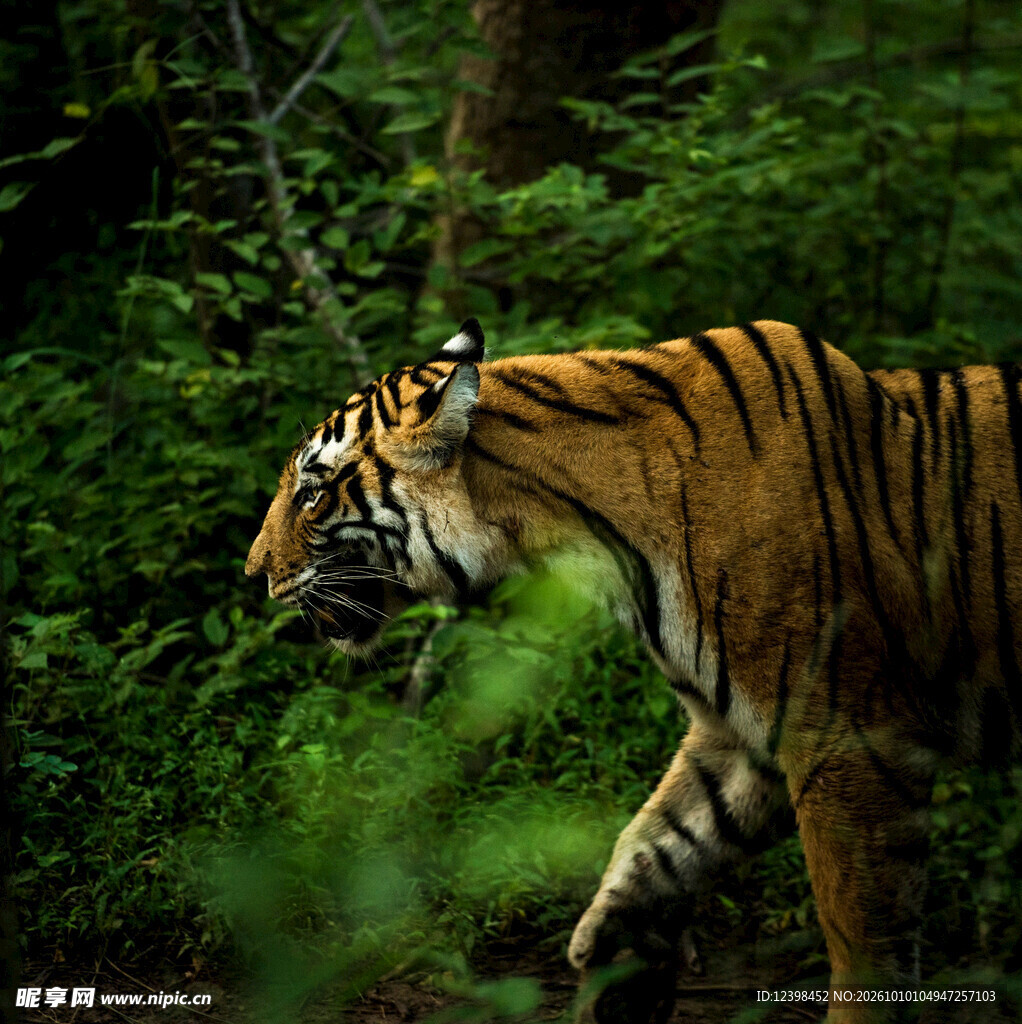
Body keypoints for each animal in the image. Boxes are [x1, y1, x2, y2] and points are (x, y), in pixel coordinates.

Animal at [246, 318, 1022, 1023]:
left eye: (313, 493)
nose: (253, 574)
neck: (587, 537)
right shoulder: (742, 737)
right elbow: (659, 845)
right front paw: (617, 966)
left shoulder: (847, 737)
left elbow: (862, 934)